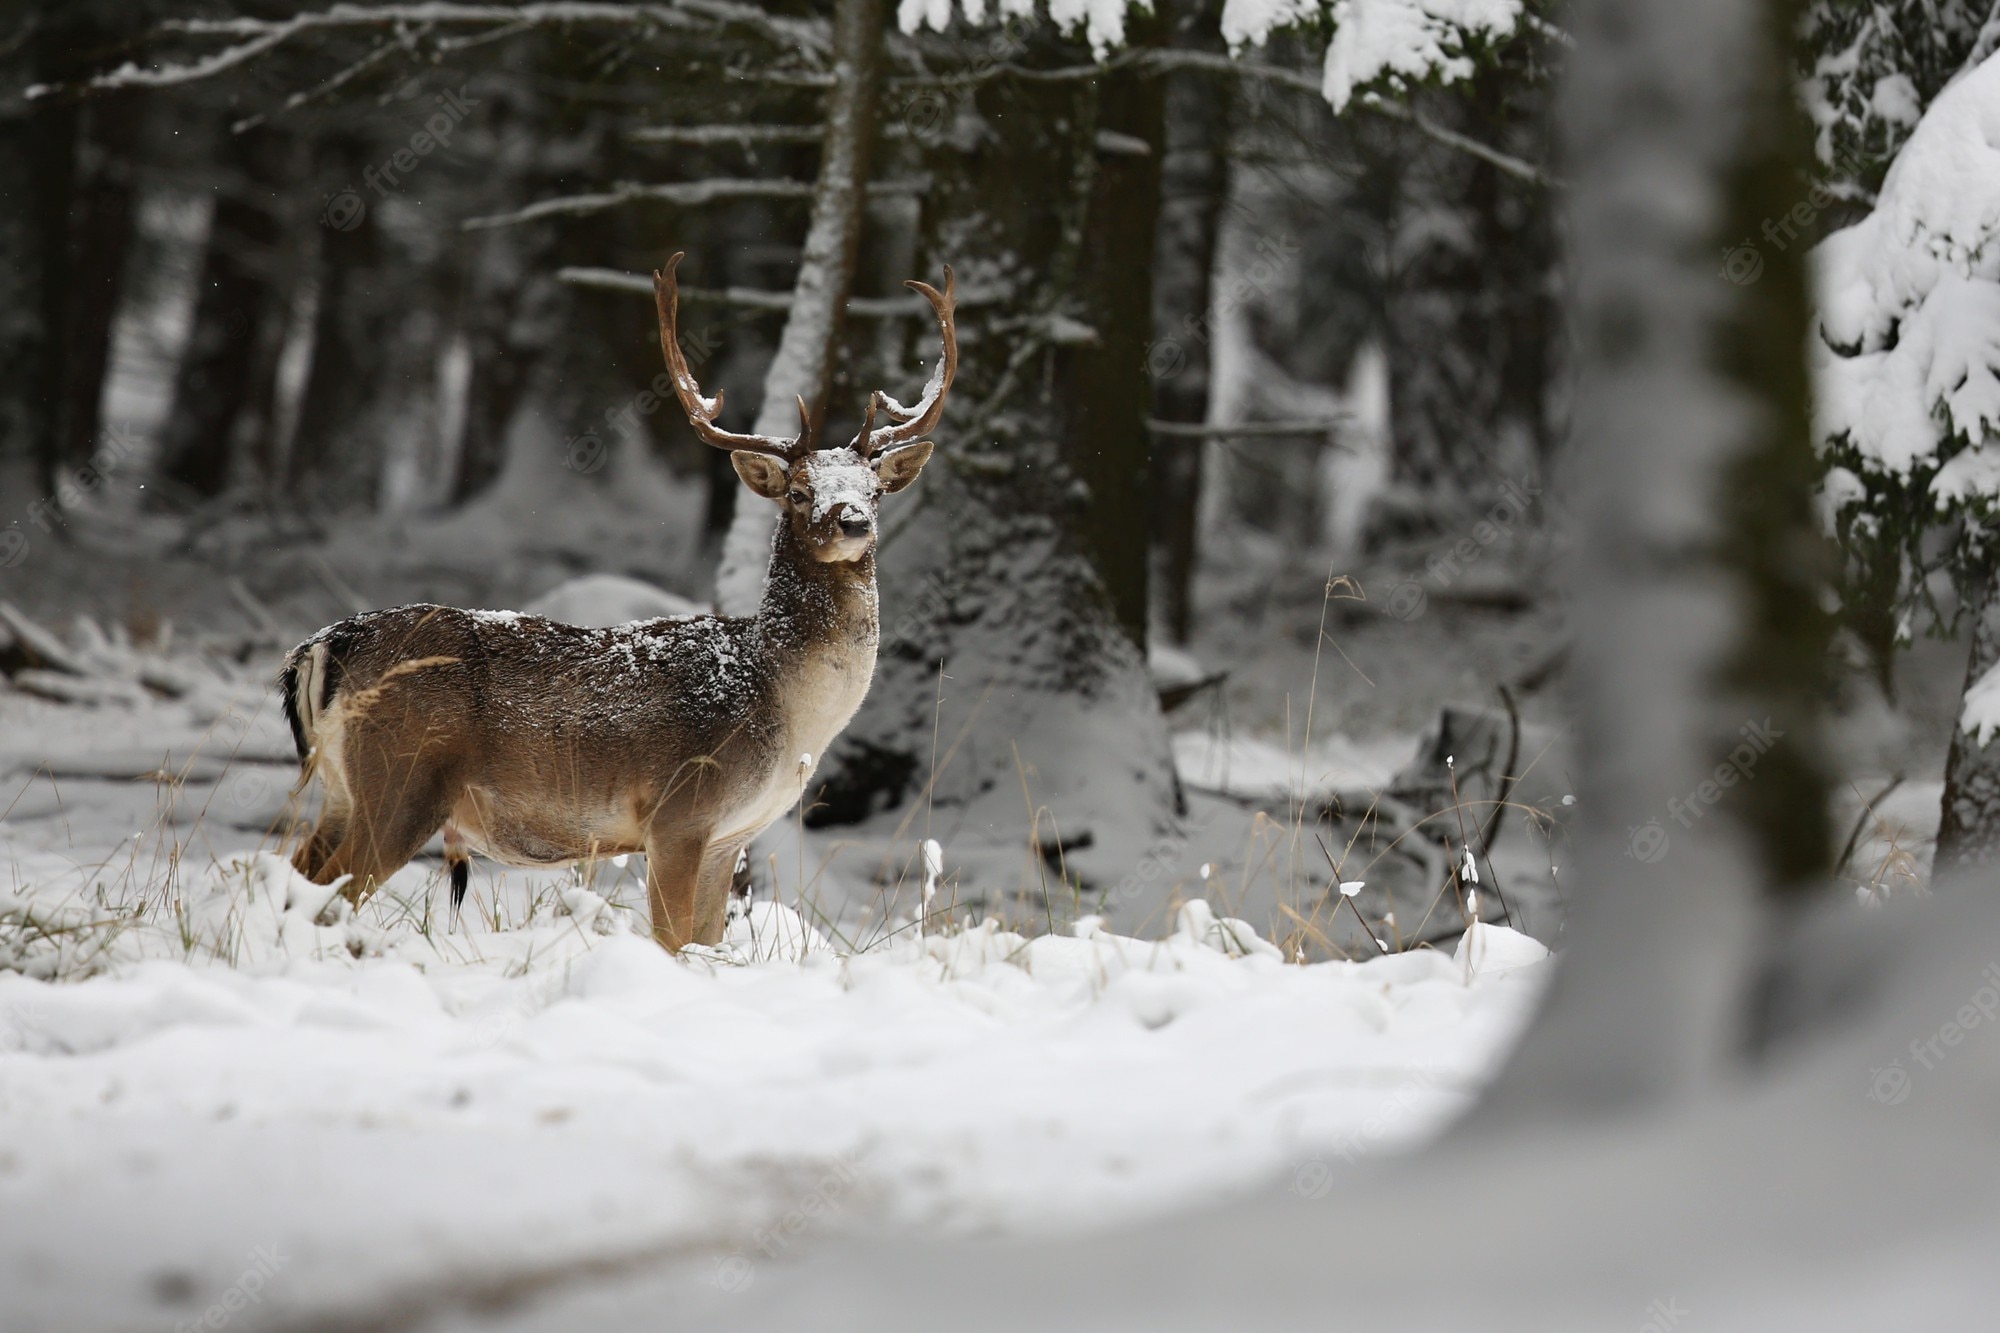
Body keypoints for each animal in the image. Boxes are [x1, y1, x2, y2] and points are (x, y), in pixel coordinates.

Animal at [278, 252, 956, 944]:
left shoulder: (728, 837)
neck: (782, 704)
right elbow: (673, 942)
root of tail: (325, 644)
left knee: (297, 876)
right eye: (798, 492)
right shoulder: (679, 812)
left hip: (344, 789)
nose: (852, 520)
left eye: (875, 489)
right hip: (402, 778)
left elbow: (707, 942)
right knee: (333, 891)